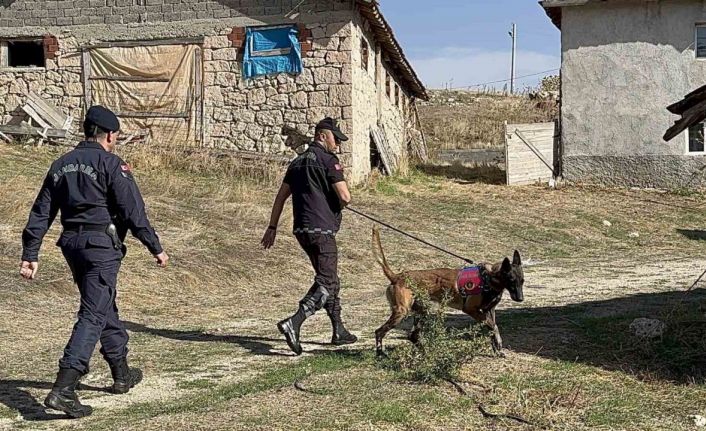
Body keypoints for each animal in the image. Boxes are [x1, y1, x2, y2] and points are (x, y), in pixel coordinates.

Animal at [372, 230, 520, 358]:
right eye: (511, 280)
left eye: (522, 281)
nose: (520, 298)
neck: (489, 277)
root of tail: (397, 277)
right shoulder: (471, 310)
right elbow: (493, 327)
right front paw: (498, 343)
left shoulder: (489, 311)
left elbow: (492, 330)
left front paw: (497, 349)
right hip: (402, 312)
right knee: (379, 331)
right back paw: (380, 354)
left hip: (422, 310)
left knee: (413, 336)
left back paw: (425, 353)